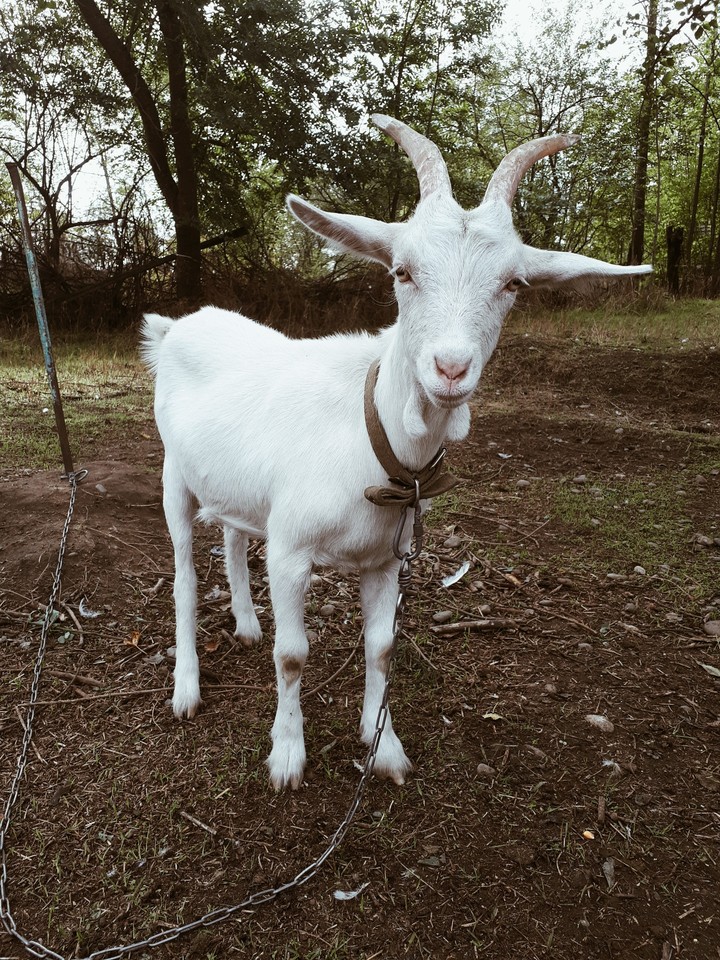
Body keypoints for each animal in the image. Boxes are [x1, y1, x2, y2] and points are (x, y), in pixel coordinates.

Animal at [141, 115, 651, 790]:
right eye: (402, 271)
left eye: (514, 283)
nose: (451, 368)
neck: (374, 444)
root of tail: (177, 326)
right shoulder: (292, 549)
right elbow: (293, 655)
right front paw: (287, 755)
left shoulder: (387, 559)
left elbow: (381, 646)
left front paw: (383, 746)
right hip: (173, 475)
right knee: (183, 578)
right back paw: (187, 688)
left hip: (239, 485)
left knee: (231, 533)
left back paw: (247, 625)